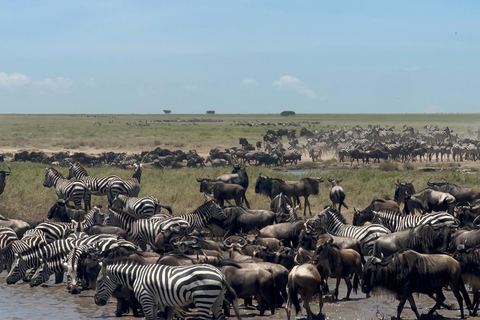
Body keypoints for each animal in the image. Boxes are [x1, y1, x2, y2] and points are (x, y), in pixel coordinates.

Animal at [94, 258, 242, 320]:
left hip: (203, 299)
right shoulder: (154, 302)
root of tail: (220, 274)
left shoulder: (146, 300)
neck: (137, 276)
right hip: (217, 299)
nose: (96, 302)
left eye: (99, 281)